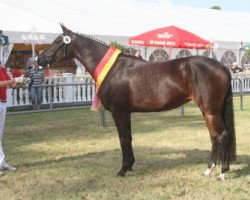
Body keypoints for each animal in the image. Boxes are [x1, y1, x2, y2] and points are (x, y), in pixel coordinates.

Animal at [38, 24, 235, 180]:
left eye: (57, 41)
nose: (40, 59)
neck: (113, 69)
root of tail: (222, 66)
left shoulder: (119, 112)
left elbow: (123, 138)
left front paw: (123, 169)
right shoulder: (126, 112)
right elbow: (129, 137)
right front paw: (130, 165)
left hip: (211, 111)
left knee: (222, 135)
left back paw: (222, 172)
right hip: (207, 111)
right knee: (214, 136)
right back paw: (209, 170)